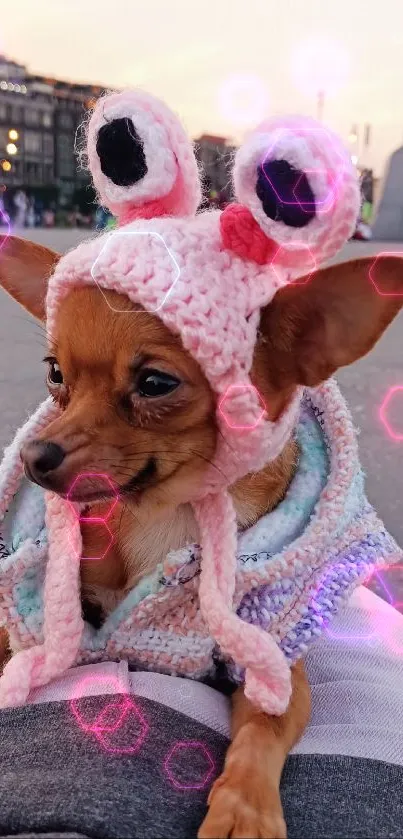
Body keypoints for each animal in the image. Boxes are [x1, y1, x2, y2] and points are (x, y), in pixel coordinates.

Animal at [0, 236, 403, 839]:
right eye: (55, 374)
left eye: (155, 384)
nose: (32, 457)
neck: (171, 514)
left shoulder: (270, 660)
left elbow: (263, 729)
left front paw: (245, 807)